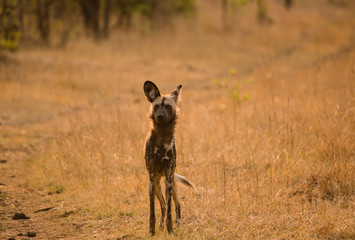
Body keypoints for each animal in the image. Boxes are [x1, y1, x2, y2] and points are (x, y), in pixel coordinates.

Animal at [143, 81, 196, 235]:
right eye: (156, 106)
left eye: (168, 106)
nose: (160, 116)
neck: (161, 138)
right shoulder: (151, 178)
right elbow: (153, 211)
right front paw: (151, 232)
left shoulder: (168, 177)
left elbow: (170, 212)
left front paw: (171, 231)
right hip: (156, 185)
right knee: (163, 206)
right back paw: (161, 225)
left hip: (171, 183)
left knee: (176, 204)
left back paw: (177, 224)